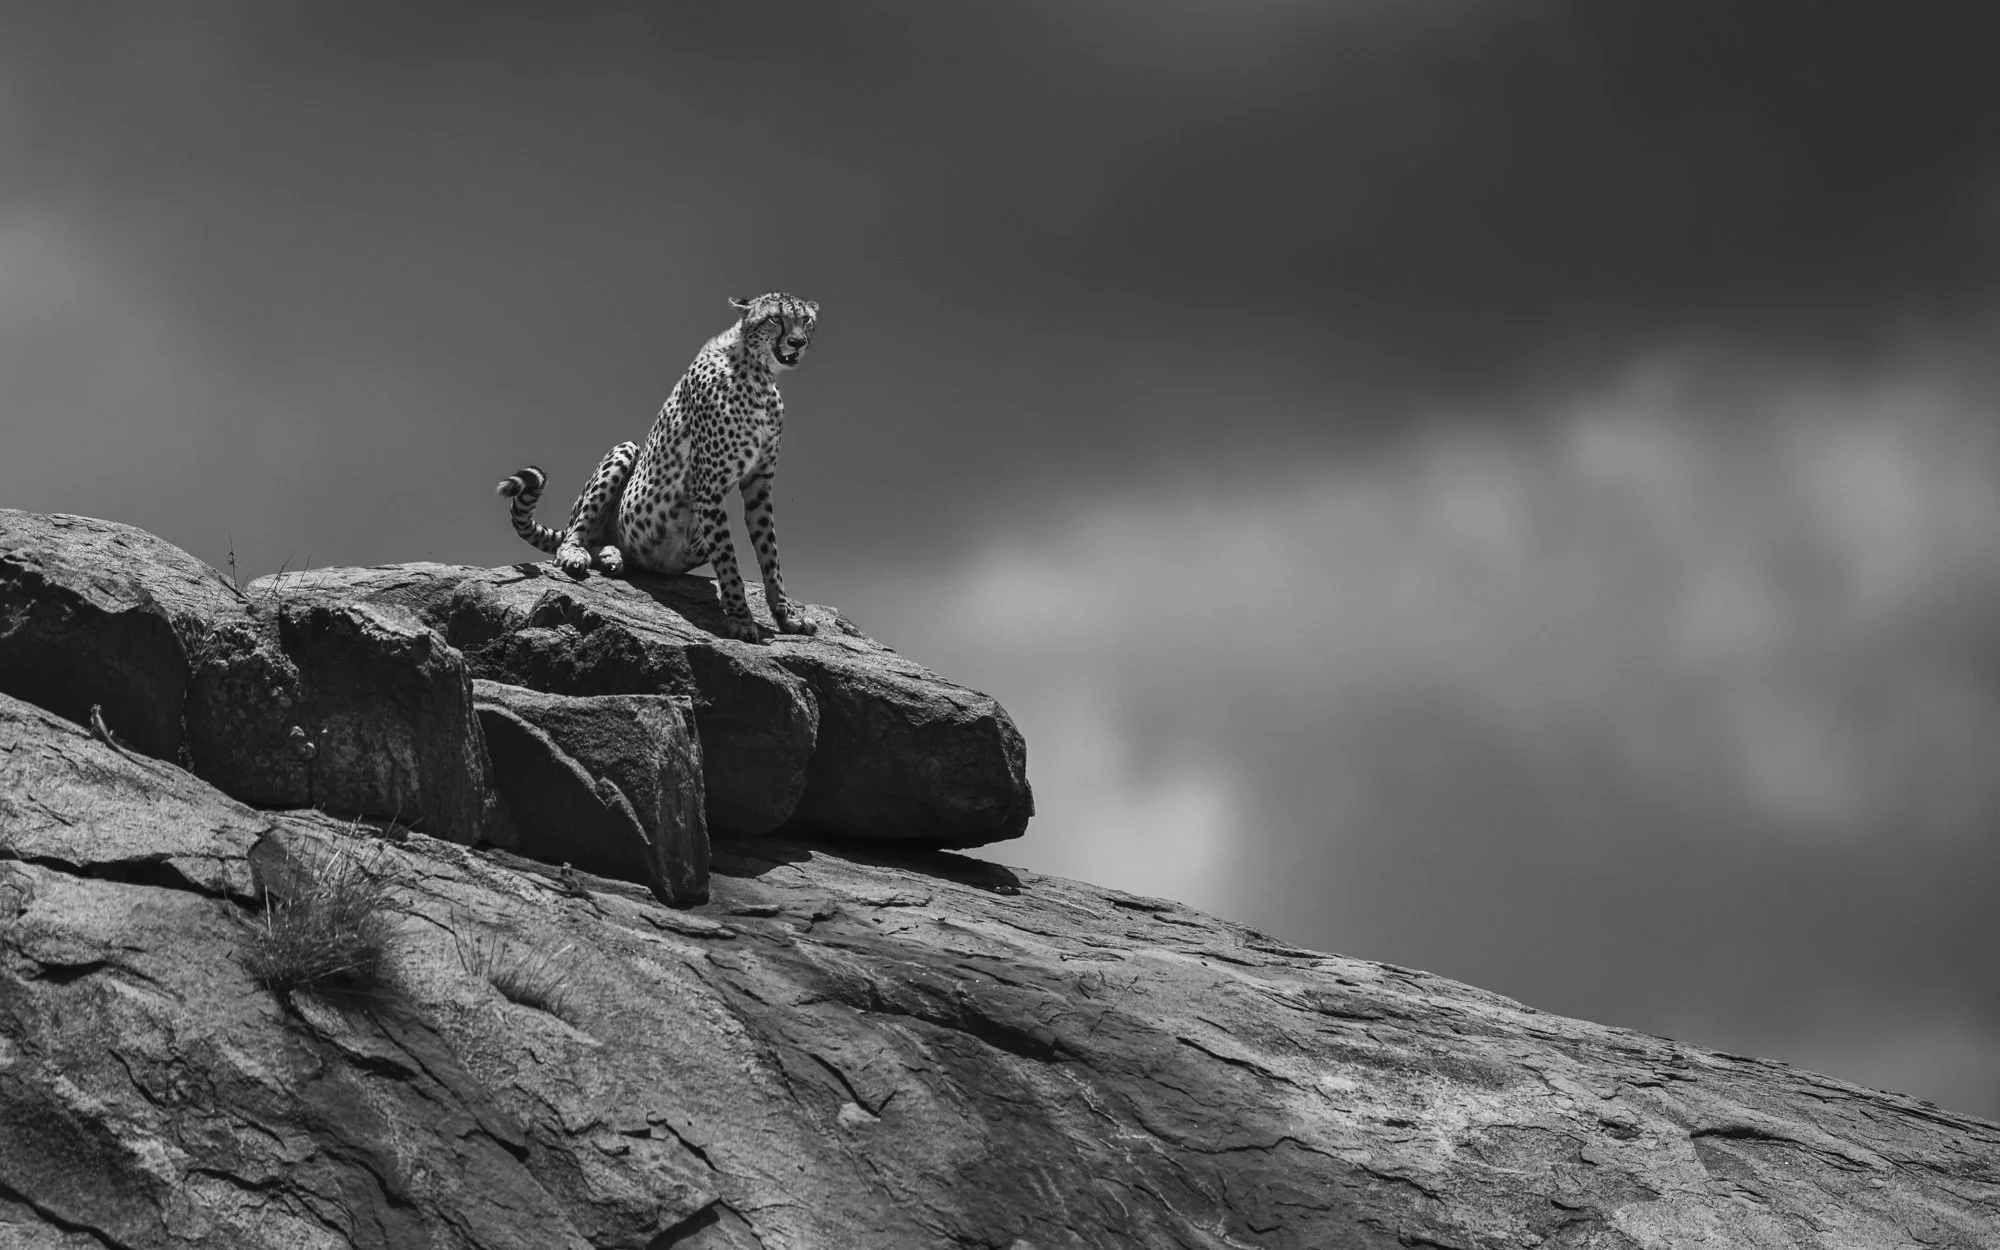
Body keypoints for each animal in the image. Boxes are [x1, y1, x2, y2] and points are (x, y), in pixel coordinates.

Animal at [496, 292, 821, 643]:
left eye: (806, 320)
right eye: (775, 318)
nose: (798, 342)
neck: (758, 372)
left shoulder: (759, 485)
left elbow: (770, 555)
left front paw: (787, 617)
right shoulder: (708, 486)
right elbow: (728, 561)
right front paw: (740, 619)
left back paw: (611, 556)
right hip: (625, 451)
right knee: (571, 538)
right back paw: (577, 553)